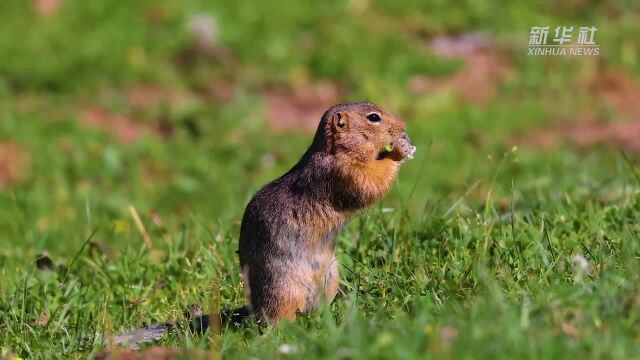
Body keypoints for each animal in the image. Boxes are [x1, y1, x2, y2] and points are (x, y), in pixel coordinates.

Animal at [111, 102, 416, 348]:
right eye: (373, 118)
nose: (404, 126)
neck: (333, 150)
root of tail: (253, 309)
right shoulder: (341, 172)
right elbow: (369, 181)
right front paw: (400, 151)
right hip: (283, 289)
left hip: (330, 276)